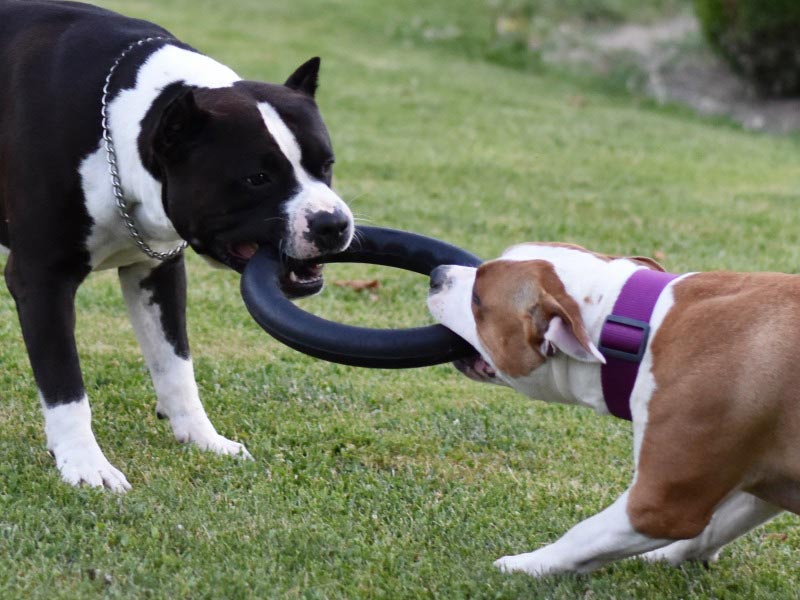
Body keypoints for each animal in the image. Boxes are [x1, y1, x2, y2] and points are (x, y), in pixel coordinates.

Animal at [0, 0, 354, 491]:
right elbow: (65, 384)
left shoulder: (158, 272)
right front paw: (85, 464)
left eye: (327, 164)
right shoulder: (41, 279)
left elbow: (176, 365)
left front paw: (202, 437)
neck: (116, 128)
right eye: (256, 178)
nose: (332, 223)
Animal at [428, 241, 799, 575]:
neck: (641, 331)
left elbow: (583, 534)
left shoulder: (660, 505)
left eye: (478, 299)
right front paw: (667, 557)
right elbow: (713, 527)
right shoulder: (759, 483)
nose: (436, 274)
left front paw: (527, 565)